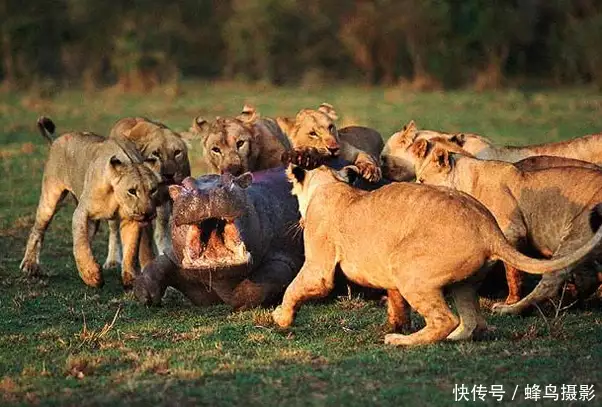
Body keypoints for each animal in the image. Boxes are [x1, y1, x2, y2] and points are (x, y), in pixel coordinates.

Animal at [21, 117, 159, 290]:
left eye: (153, 190)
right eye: (132, 191)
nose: (148, 213)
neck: (117, 197)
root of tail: (55, 141)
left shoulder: (131, 220)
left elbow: (131, 250)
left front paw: (130, 279)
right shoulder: (81, 212)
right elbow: (80, 244)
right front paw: (92, 275)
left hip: (92, 221)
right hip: (50, 198)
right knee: (37, 230)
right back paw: (30, 265)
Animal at [103, 118, 190, 270]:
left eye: (177, 152)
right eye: (155, 154)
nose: (168, 174)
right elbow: (146, 244)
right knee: (114, 230)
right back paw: (113, 260)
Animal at [270, 164, 600, 346]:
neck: (330, 184)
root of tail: (488, 227)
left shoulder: (319, 267)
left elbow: (295, 288)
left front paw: (281, 318)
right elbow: (396, 302)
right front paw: (396, 321)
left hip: (408, 268)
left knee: (445, 319)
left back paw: (401, 342)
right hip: (462, 282)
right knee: (471, 321)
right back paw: (452, 337)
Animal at [410, 139, 602, 314]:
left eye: (422, 180)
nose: (415, 193)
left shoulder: (512, 231)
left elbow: (512, 271)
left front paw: (510, 300)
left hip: (577, 233)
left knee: (551, 282)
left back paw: (511, 309)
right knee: (589, 278)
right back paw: (569, 303)